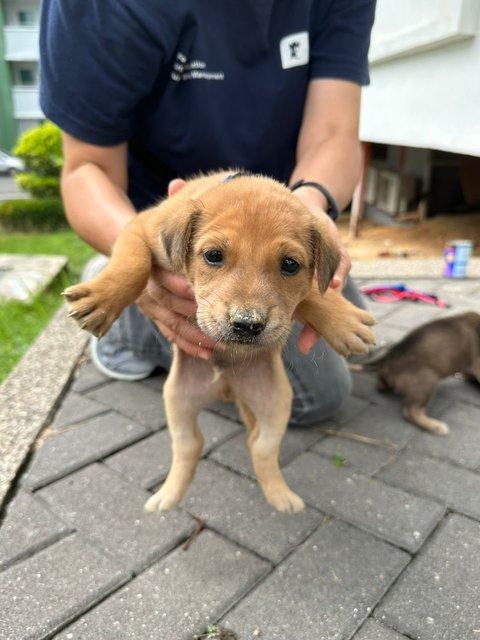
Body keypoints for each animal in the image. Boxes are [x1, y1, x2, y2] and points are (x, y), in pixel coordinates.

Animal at [64, 172, 376, 512]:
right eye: (213, 256)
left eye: (290, 265)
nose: (246, 325)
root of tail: (227, 387)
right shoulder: (140, 228)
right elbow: (132, 263)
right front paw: (101, 299)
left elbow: (310, 294)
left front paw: (343, 321)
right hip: (178, 399)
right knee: (189, 445)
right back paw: (168, 496)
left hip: (275, 402)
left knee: (260, 446)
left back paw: (280, 496)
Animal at [352, 312, 480, 436]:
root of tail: (388, 357)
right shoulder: (476, 366)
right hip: (428, 379)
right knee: (410, 411)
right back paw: (435, 426)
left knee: (381, 385)